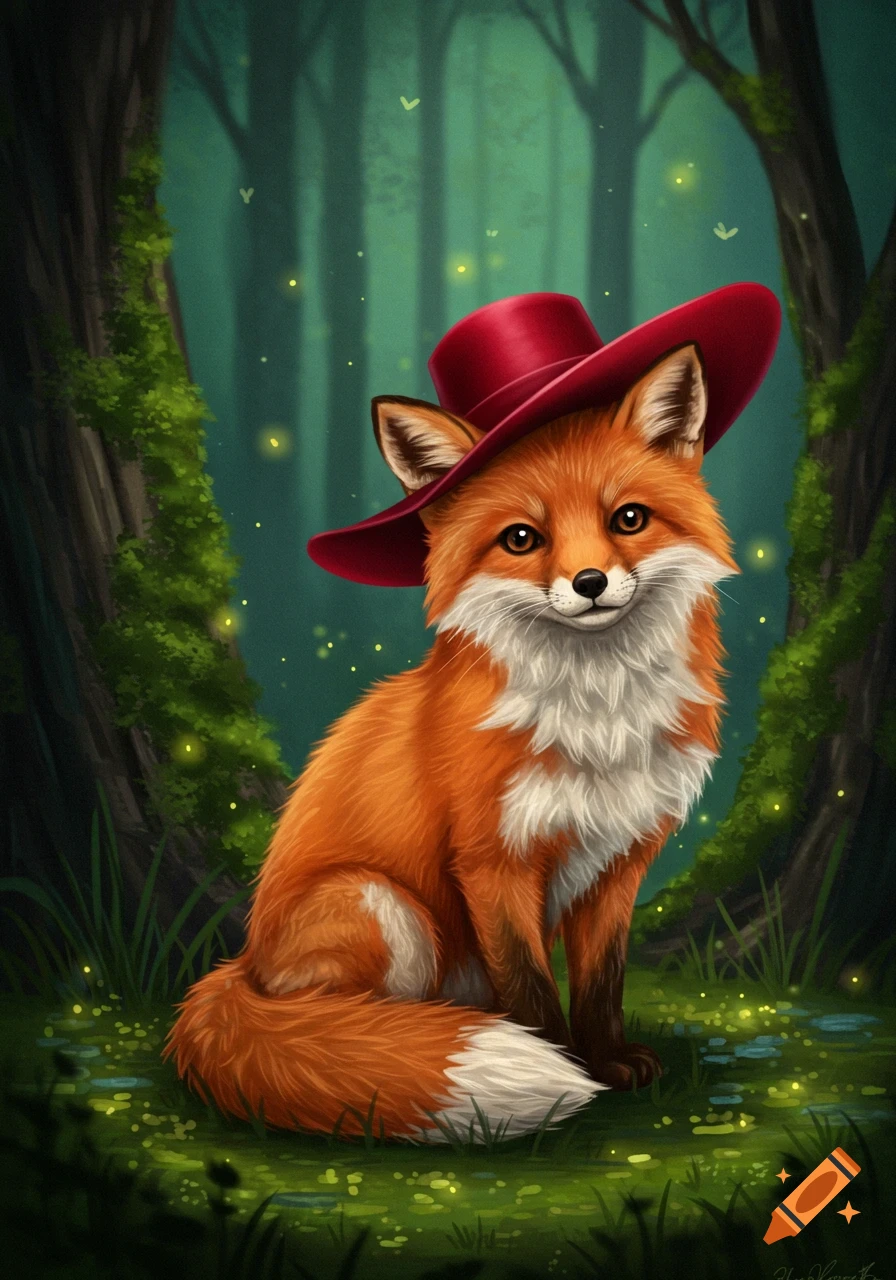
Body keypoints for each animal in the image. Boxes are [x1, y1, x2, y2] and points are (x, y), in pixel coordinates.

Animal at [165, 340, 737, 1143]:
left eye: (629, 518)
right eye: (522, 538)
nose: (590, 582)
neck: (598, 716)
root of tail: (242, 966)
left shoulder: (618, 859)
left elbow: (600, 983)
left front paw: (606, 1062)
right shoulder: (492, 860)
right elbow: (531, 988)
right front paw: (562, 1071)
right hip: (385, 907)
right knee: (339, 1021)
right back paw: (395, 1042)